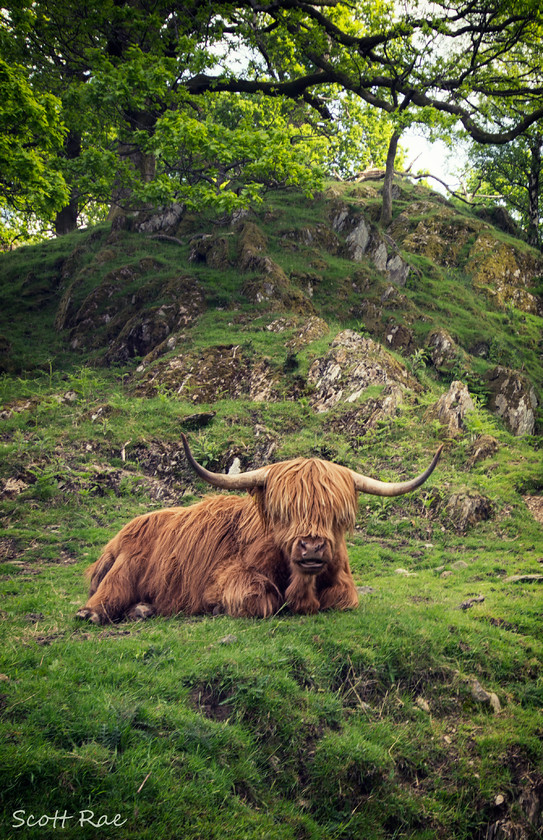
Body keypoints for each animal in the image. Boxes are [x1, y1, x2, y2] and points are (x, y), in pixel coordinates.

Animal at [75, 434, 442, 624]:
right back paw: (92, 613)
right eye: (284, 511)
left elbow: (344, 600)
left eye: (334, 513)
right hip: (126, 564)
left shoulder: (344, 584)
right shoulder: (229, 576)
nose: (311, 547)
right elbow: (258, 600)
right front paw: (219, 607)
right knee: (109, 592)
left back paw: (142, 610)